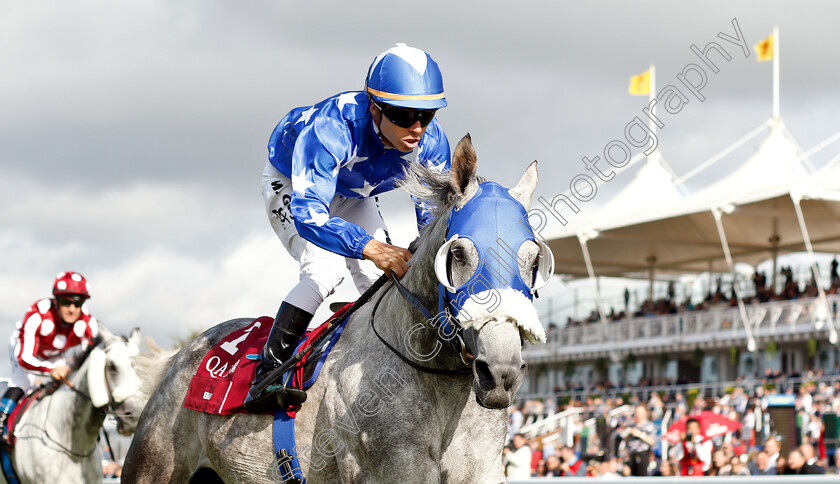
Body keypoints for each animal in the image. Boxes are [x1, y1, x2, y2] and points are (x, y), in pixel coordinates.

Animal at [121, 135, 548, 484]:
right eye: (458, 254)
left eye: (533, 260)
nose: (501, 373)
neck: (438, 384)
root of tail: (180, 356)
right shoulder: (392, 470)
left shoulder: (483, 470)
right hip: (153, 465)